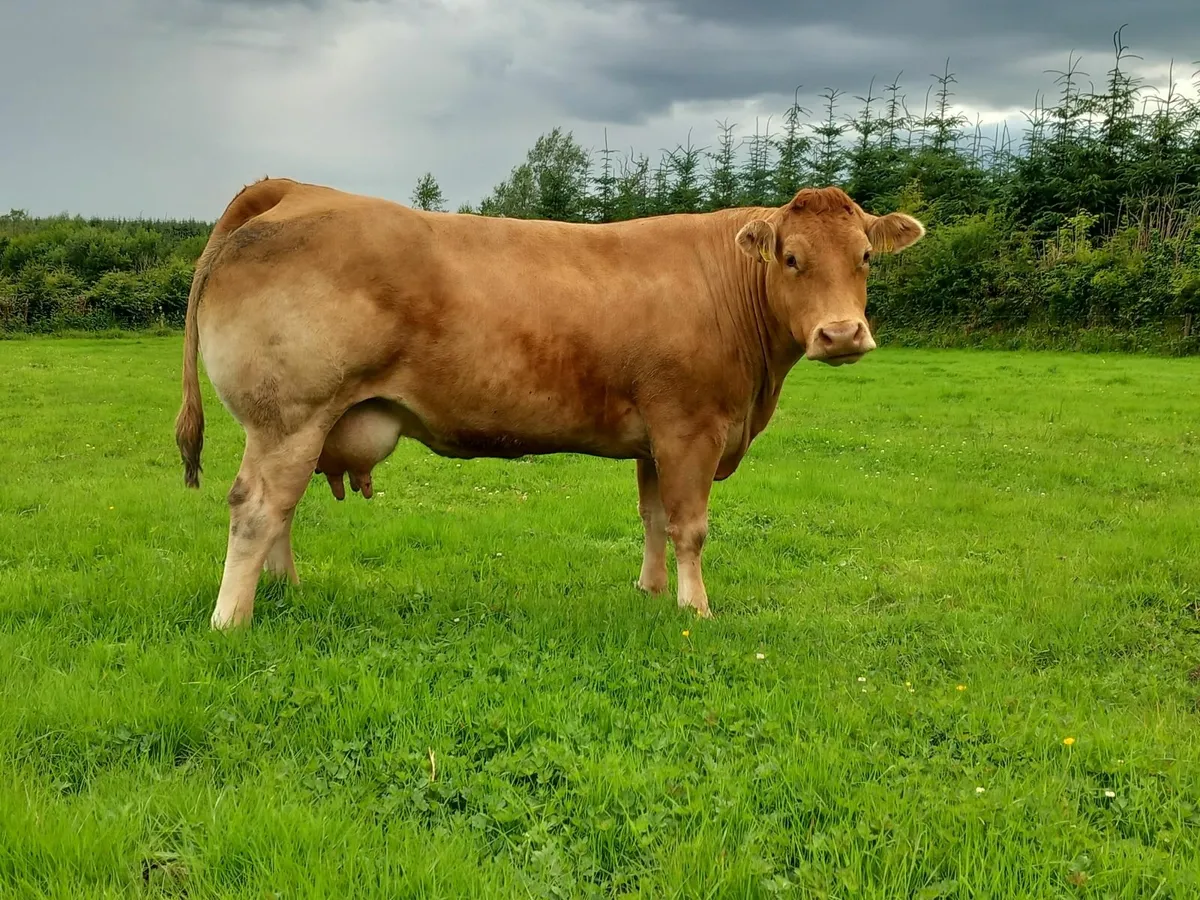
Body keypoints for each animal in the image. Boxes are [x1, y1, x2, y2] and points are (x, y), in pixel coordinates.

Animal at [174, 177, 925, 630]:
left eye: (864, 256)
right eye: (792, 258)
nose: (842, 334)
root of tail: (295, 190)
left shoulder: (655, 436)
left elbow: (654, 518)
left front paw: (651, 594)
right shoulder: (691, 427)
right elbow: (690, 526)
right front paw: (696, 610)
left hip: (302, 423)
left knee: (282, 507)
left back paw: (285, 590)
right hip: (289, 415)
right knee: (257, 507)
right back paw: (232, 618)